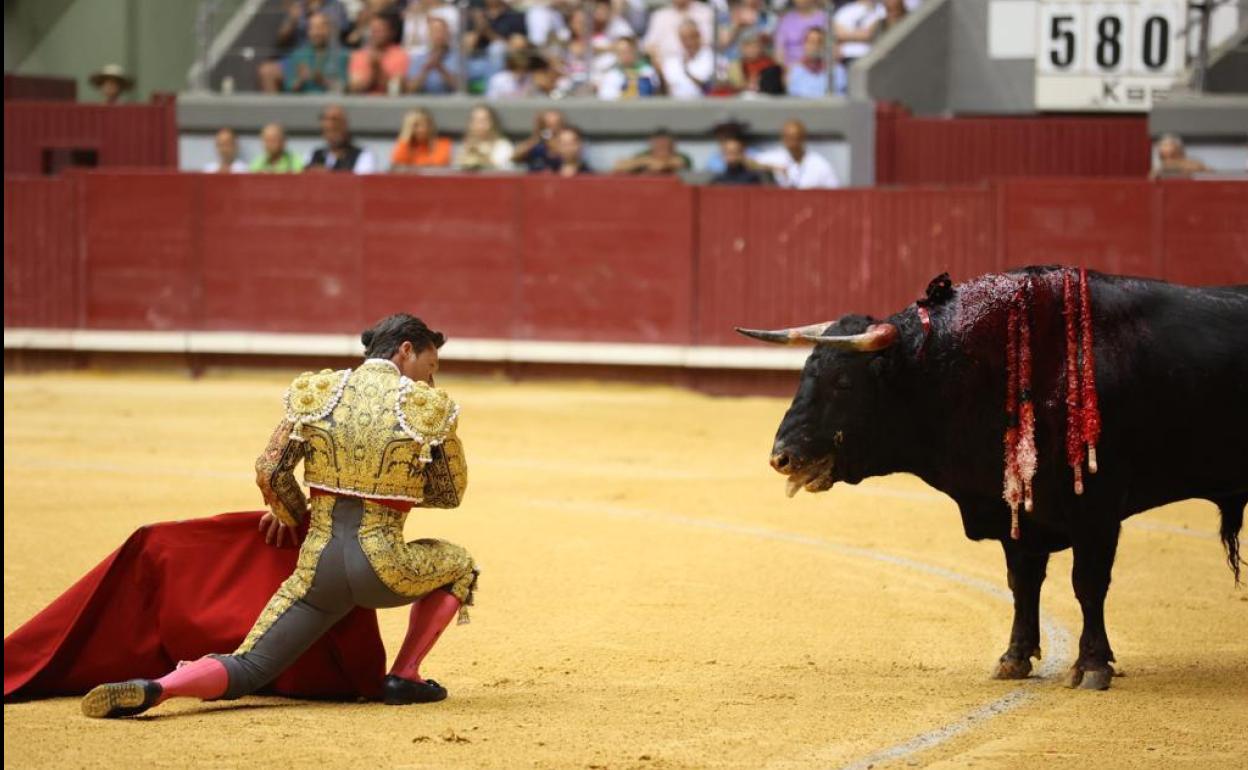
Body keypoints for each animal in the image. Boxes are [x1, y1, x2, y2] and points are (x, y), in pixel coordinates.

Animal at [733, 265, 1243, 688]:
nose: (782, 457)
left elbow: (1087, 583)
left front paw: (1092, 665)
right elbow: (1023, 582)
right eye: (805, 374)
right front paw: (1014, 658)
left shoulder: (1097, 509)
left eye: (842, 382)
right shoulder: (1014, 507)